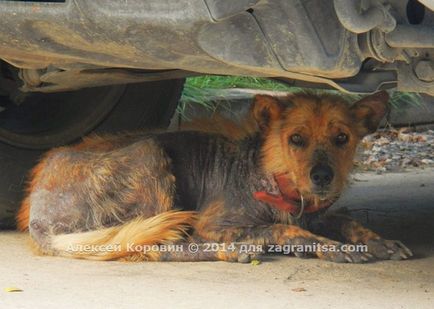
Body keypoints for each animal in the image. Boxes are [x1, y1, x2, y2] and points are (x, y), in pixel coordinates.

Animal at [15, 90, 412, 262]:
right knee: (158, 247)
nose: (323, 177)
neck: (270, 177)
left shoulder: (318, 212)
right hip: (150, 154)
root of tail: (37, 213)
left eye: (342, 138)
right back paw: (233, 251)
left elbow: (345, 219)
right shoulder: (213, 223)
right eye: (296, 139)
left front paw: (378, 241)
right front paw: (329, 247)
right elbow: (283, 228)